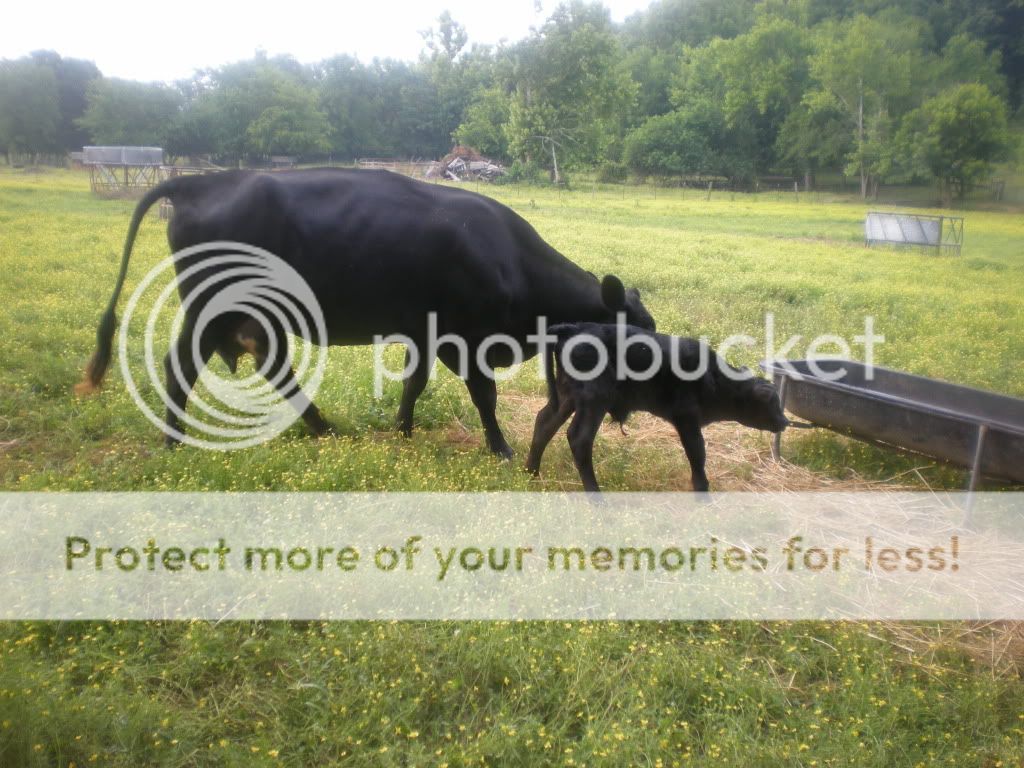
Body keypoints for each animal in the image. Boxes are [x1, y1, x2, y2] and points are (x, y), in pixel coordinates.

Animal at [75, 169, 655, 457]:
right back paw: (173, 442)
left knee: (274, 366)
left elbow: (413, 385)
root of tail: (202, 180)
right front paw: (500, 448)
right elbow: (484, 395)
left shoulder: (426, 334)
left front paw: (402, 431)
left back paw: (320, 427)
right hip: (211, 309)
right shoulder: (466, 339)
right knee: (181, 367)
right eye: (638, 341)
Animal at [526, 322, 791, 492]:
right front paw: (702, 489)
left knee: (544, 422)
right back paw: (595, 495)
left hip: (568, 395)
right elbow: (697, 453)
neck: (714, 378)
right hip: (594, 399)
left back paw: (531, 473)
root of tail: (572, 327)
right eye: (772, 403)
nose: (785, 422)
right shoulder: (687, 418)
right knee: (579, 438)